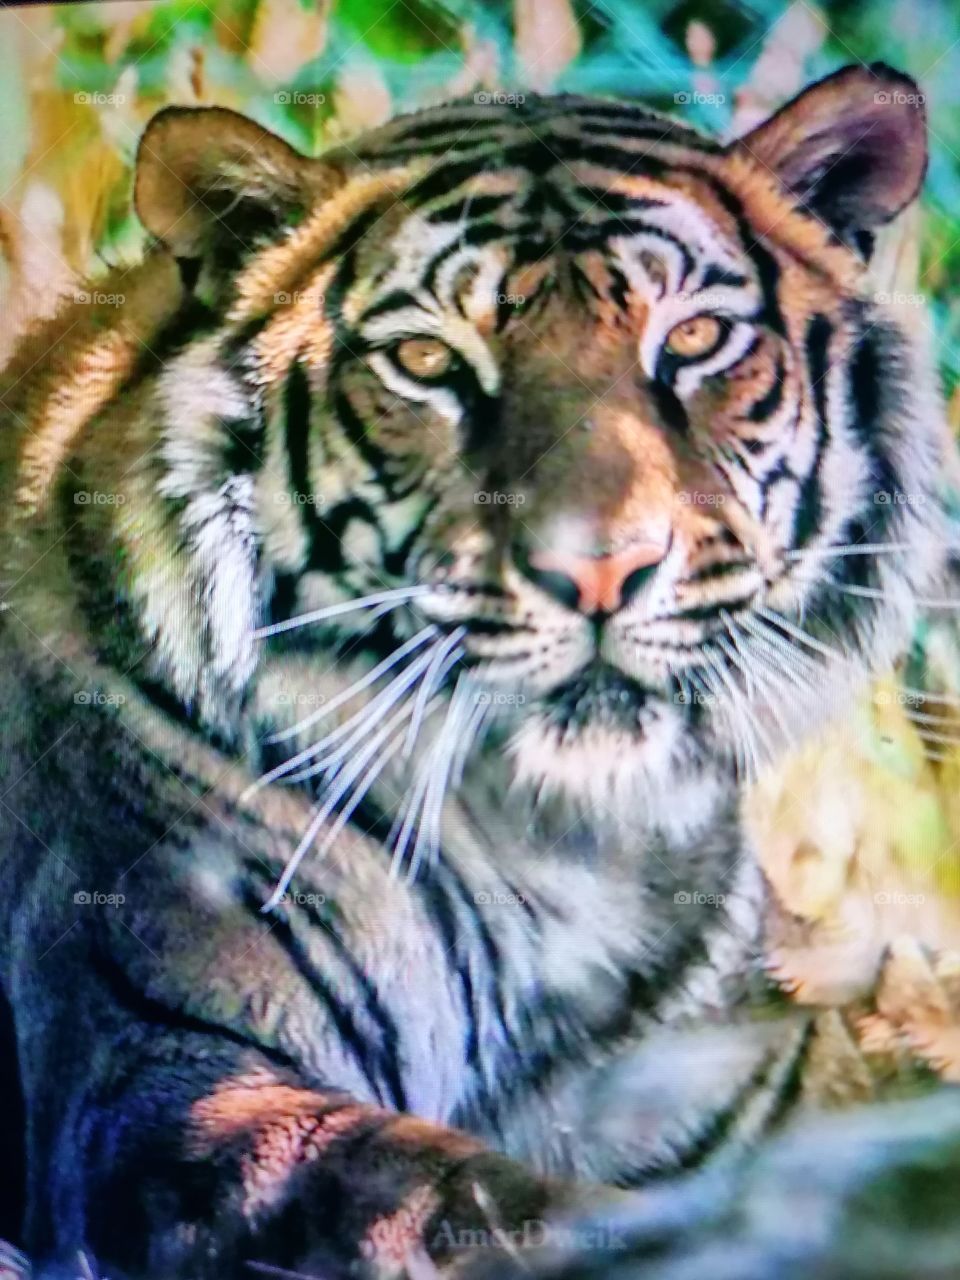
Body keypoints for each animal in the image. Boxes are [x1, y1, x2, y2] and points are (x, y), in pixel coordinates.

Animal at [1, 58, 960, 1280]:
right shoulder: (167, 1061)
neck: (568, 855)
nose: (601, 569)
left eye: (695, 339)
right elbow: (488, 1199)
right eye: (426, 362)